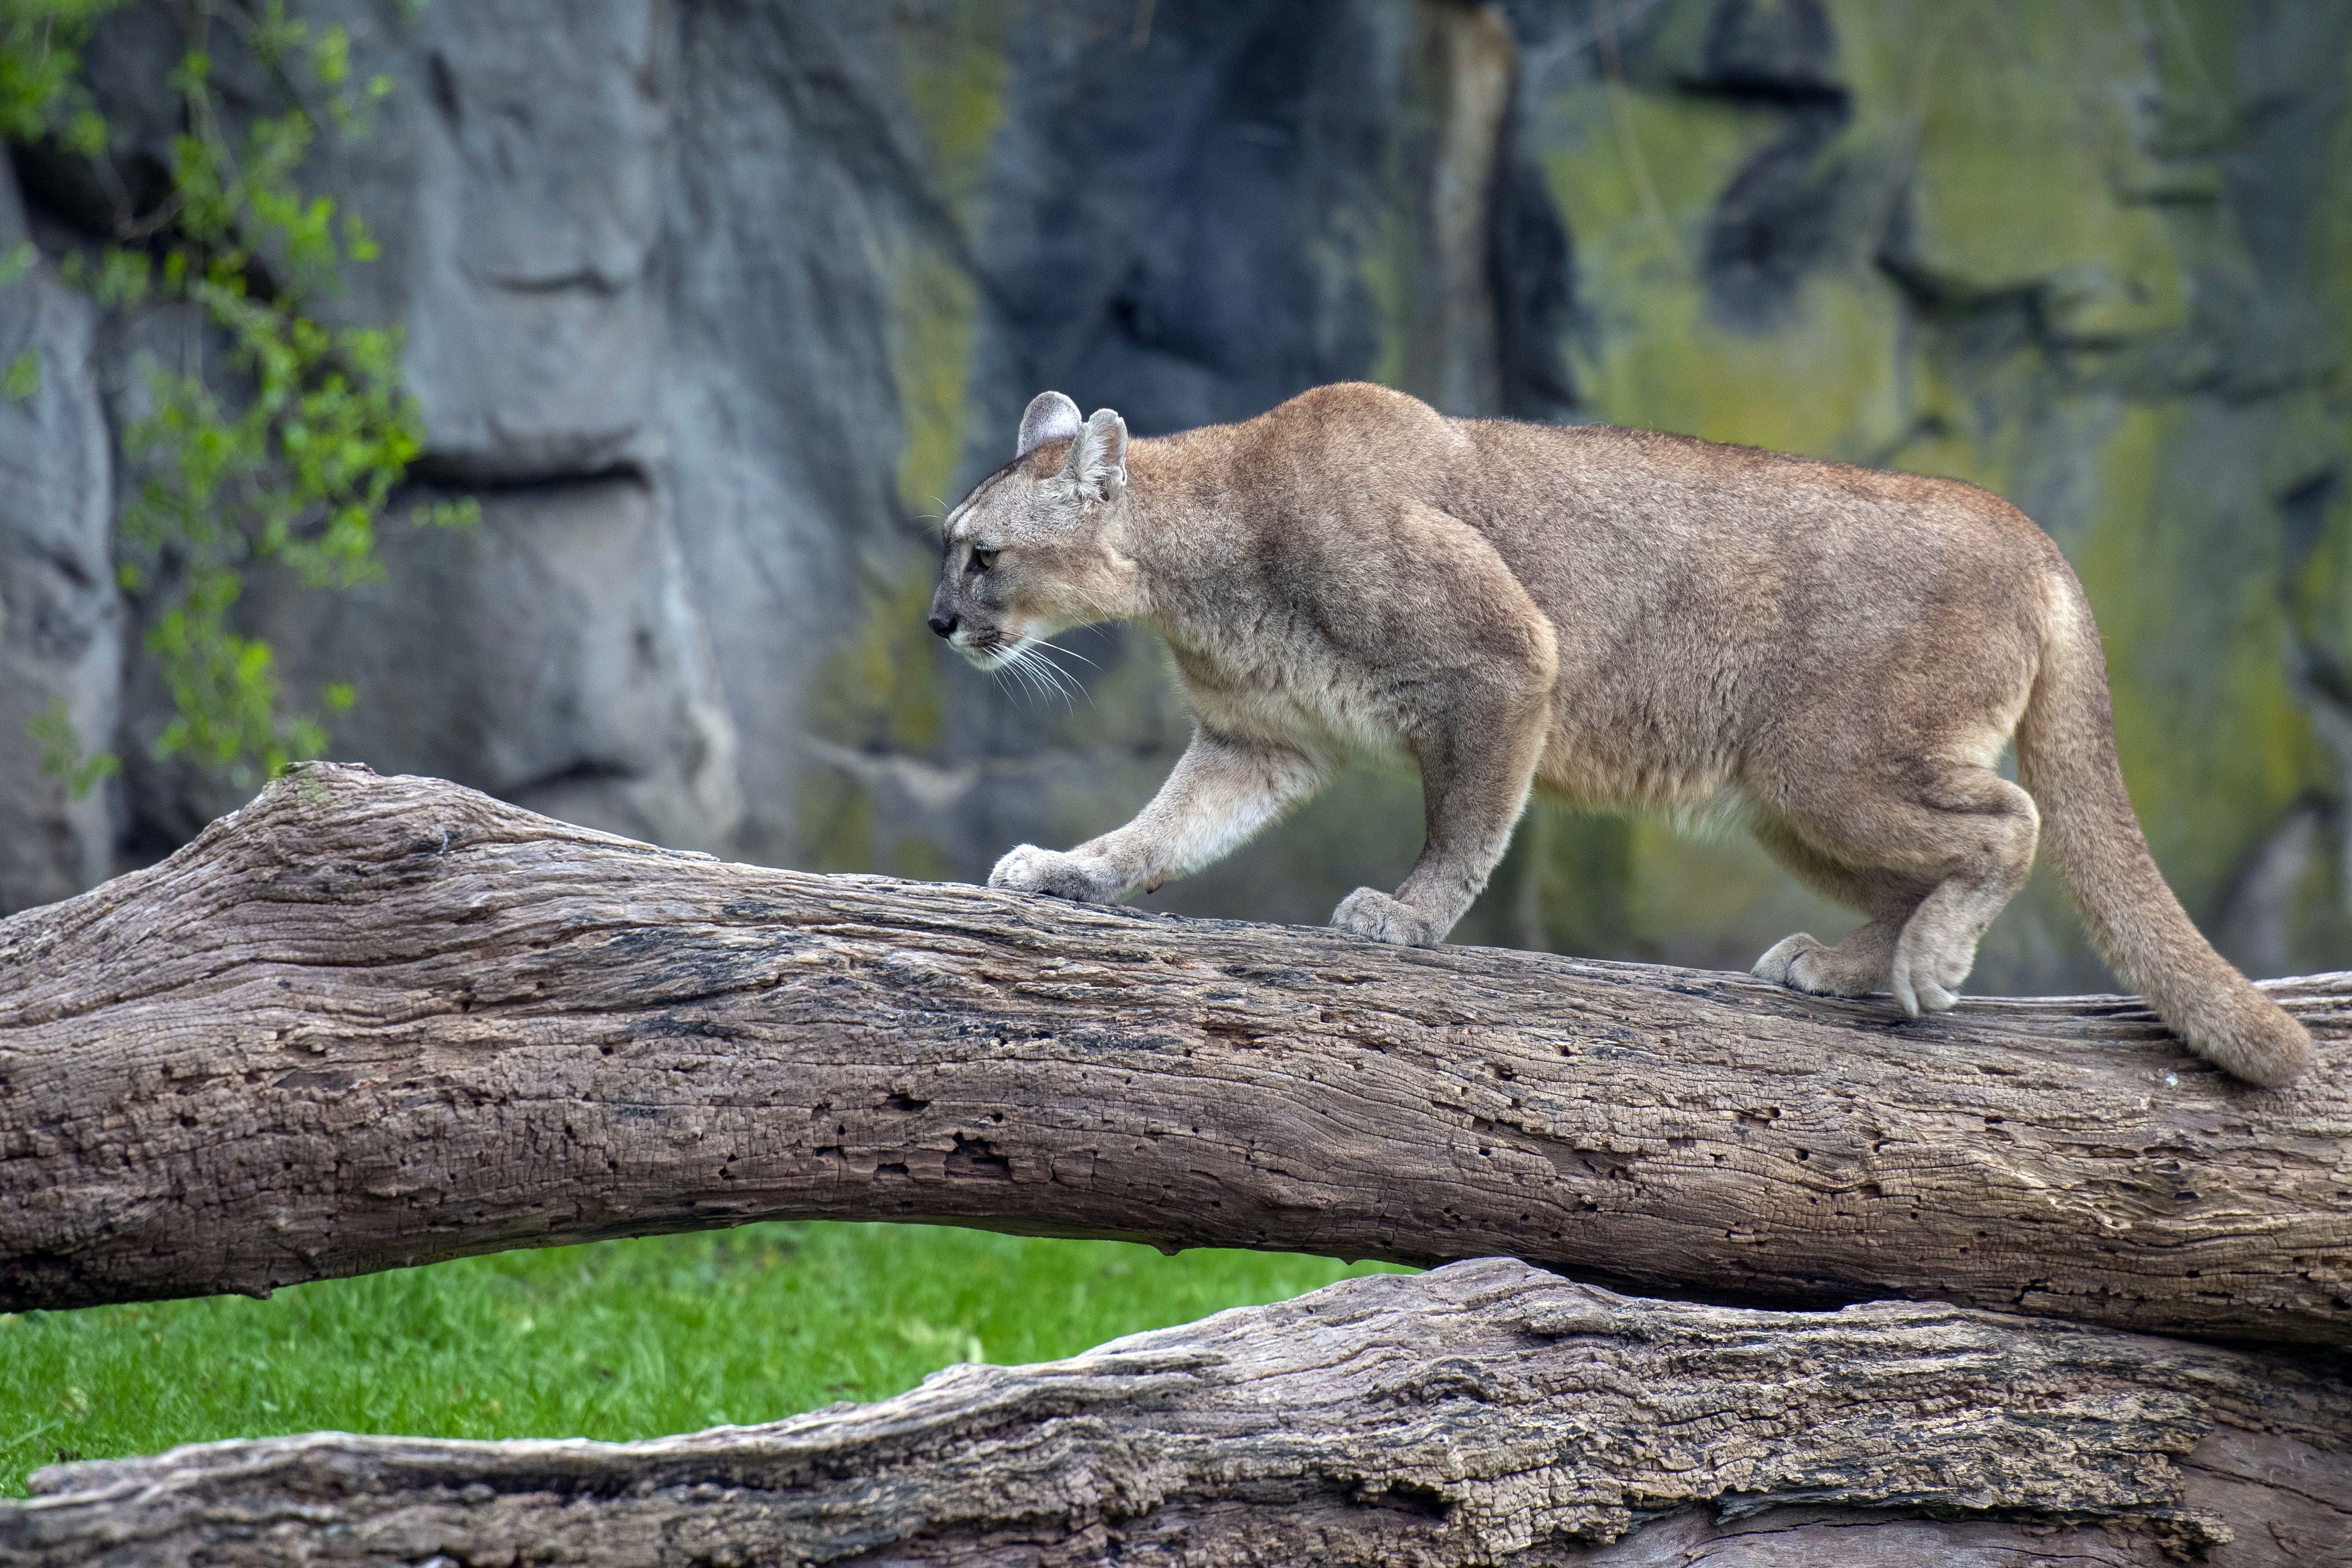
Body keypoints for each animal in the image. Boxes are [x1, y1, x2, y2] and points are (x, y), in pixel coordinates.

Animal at [922, 383, 2314, 1090]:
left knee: (2010, 821)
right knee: (1918, 866)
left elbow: (1466, 816)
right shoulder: (1256, 740)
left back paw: (1930, 965)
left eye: (980, 553)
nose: (938, 621)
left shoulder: (1502, 659)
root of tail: (2027, 529)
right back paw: (1844, 964)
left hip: (1829, 761)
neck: (1195, 562)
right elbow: (1161, 831)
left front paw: (1408, 918)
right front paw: (1067, 872)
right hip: (1786, 800)